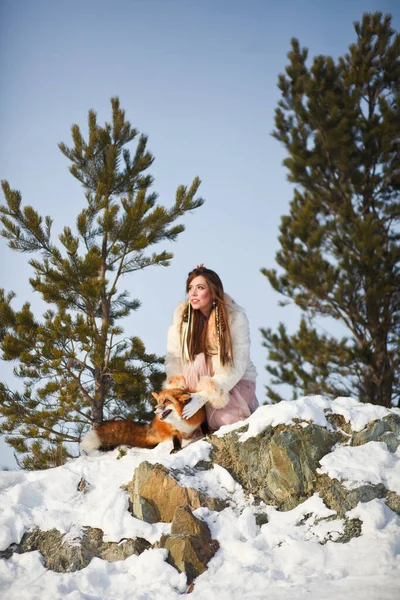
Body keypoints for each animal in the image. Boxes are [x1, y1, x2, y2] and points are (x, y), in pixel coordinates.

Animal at [80, 390, 208, 454]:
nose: (155, 410)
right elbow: (176, 440)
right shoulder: (174, 430)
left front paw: (207, 434)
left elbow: (205, 427)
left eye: (166, 401)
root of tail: (150, 426)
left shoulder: (202, 418)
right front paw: (176, 449)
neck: (182, 420)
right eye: (158, 401)